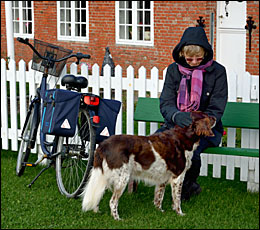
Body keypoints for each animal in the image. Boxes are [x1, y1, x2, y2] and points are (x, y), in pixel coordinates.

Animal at [81, 112, 215, 220]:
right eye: (207, 116)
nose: (215, 117)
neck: (185, 135)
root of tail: (103, 145)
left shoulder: (162, 179)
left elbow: (159, 198)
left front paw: (160, 211)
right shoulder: (178, 177)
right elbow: (177, 199)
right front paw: (180, 213)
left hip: (105, 176)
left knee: (98, 195)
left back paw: (97, 211)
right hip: (122, 178)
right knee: (112, 201)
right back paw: (117, 218)